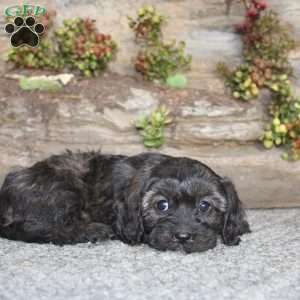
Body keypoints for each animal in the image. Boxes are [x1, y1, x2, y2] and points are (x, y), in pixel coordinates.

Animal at [0, 151, 250, 252]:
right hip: (64, 189)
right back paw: (91, 231)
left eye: (204, 206)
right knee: (44, 228)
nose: (182, 237)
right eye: (162, 205)